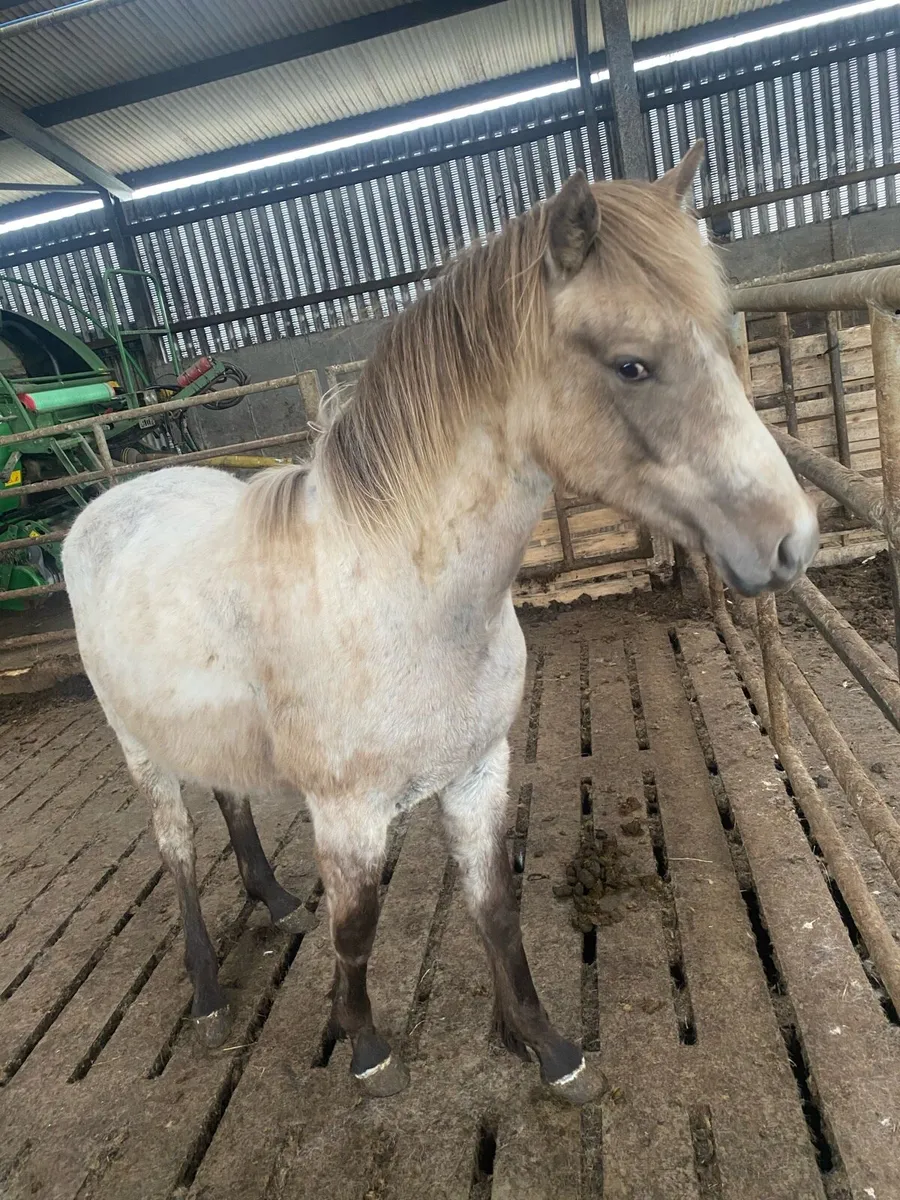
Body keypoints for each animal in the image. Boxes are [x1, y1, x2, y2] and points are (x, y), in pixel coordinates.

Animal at [62, 141, 818, 1105]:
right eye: (631, 365)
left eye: (724, 337)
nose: (790, 539)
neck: (401, 598)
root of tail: (104, 506)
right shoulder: (349, 815)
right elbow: (357, 931)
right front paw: (366, 1047)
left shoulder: (477, 771)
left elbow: (494, 908)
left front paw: (548, 1048)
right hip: (141, 751)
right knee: (179, 851)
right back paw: (205, 994)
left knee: (228, 799)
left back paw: (275, 901)